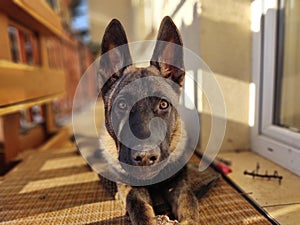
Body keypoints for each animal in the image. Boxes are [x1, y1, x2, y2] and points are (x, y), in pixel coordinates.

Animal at [98, 16, 199, 225]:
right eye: (122, 105)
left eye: (163, 104)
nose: (144, 157)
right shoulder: (134, 191)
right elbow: (140, 210)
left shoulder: (180, 186)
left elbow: (189, 209)